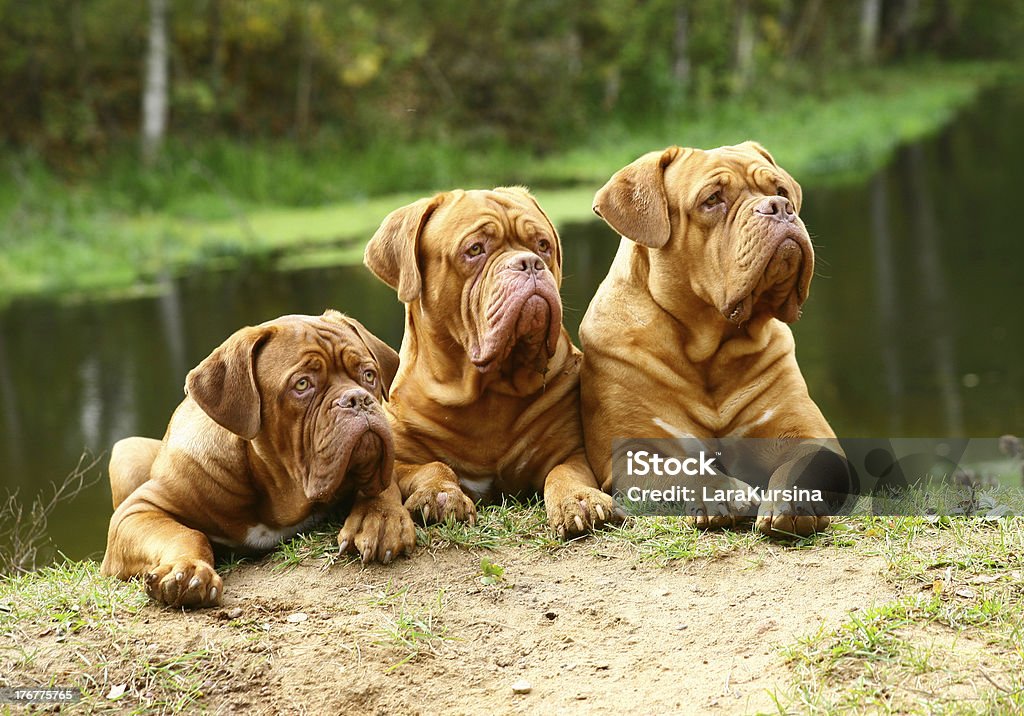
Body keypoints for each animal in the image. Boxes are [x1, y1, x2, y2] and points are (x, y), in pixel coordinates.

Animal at [98, 309, 411, 606]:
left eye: (369, 375)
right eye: (302, 384)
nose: (358, 399)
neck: (271, 488)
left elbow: (384, 486)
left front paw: (379, 518)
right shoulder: (137, 511)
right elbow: (186, 534)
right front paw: (187, 570)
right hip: (127, 450)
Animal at [364, 184, 618, 536]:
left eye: (543, 246)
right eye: (475, 249)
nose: (529, 262)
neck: (486, 393)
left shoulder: (571, 451)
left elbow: (564, 472)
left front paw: (579, 499)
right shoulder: (398, 458)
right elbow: (430, 466)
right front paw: (440, 495)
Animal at [581, 142, 843, 536]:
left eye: (780, 191)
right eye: (713, 199)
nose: (779, 207)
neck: (709, 349)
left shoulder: (811, 435)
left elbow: (798, 466)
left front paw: (793, 501)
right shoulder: (631, 451)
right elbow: (682, 468)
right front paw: (724, 492)